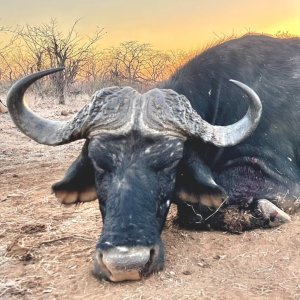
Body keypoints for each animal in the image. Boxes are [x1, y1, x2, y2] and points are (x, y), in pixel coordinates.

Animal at [7, 35, 300, 282]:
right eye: (98, 163)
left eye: (170, 164)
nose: (125, 264)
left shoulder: (280, 183)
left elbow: (197, 207)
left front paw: (268, 212)